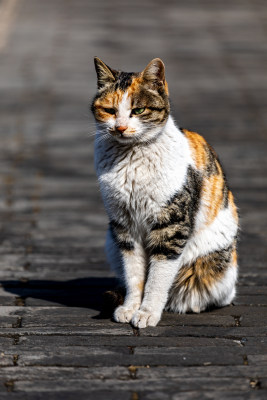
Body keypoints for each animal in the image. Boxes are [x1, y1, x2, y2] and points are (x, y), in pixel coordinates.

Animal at [91, 57, 239, 330]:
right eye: (110, 110)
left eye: (138, 110)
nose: (120, 127)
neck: (131, 159)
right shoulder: (124, 227)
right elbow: (135, 275)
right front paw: (130, 308)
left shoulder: (171, 226)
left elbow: (158, 277)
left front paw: (147, 313)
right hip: (110, 242)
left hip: (210, 268)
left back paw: (190, 304)